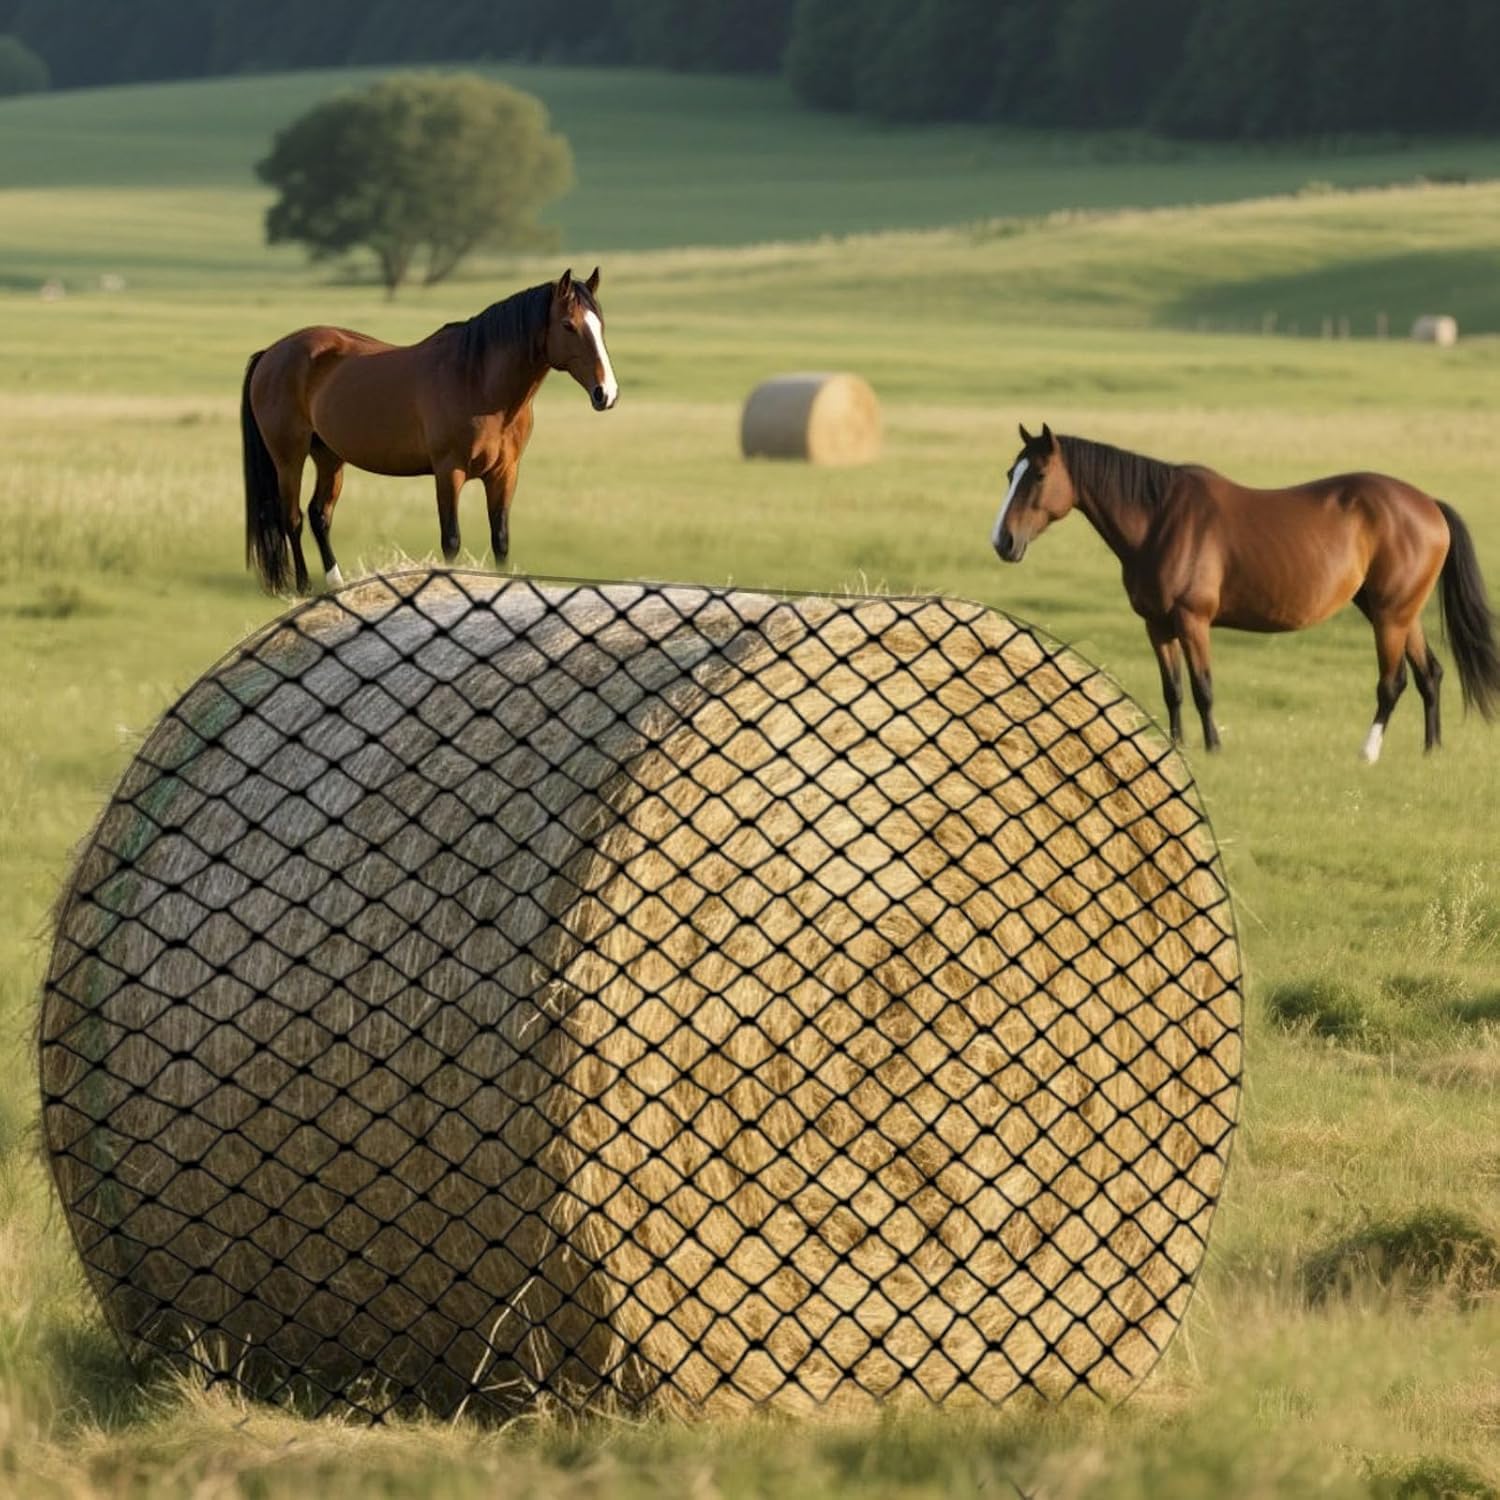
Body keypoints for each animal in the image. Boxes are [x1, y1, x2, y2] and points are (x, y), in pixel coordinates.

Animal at [241, 268, 618, 595]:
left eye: (600, 324)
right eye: (568, 325)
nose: (606, 393)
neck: (478, 381)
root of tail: (272, 352)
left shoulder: (504, 473)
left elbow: (500, 539)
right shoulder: (448, 471)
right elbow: (451, 539)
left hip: (330, 456)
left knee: (320, 515)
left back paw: (337, 585)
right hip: (289, 457)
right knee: (293, 518)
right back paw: (303, 587)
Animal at [990, 424, 1500, 760]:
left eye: (1037, 476)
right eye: (1009, 474)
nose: (1003, 542)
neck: (1161, 521)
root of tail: (1428, 505)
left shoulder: (1193, 621)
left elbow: (1202, 689)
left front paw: (1214, 748)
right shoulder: (1157, 625)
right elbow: (1173, 690)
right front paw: (1176, 747)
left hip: (1389, 617)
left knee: (1392, 683)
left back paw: (1368, 752)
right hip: (1399, 612)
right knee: (1430, 675)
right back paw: (1431, 751)